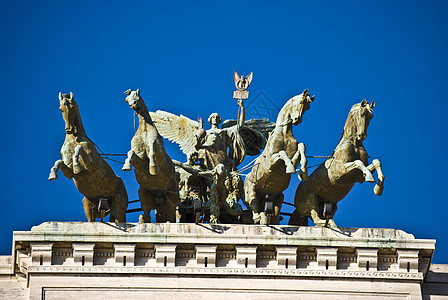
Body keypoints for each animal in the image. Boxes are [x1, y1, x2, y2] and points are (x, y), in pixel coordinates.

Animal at [49, 92, 130, 221]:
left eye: (72, 107)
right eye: (60, 108)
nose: (69, 129)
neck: (73, 139)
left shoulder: (91, 164)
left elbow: (79, 149)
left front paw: (77, 165)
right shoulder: (69, 173)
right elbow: (59, 162)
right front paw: (53, 174)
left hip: (119, 205)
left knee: (118, 218)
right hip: (89, 204)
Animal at [122, 89, 180, 223]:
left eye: (136, 95)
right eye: (127, 100)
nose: (133, 104)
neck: (144, 131)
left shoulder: (157, 149)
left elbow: (152, 152)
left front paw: (153, 169)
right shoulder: (138, 158)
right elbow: (130, 153)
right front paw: (126, 166)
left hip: (171, 197)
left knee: (170, 214)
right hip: (143, 194)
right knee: (147, 214)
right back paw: (142, 220)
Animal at [245, 90, 316, 224]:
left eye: (308, 107)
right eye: (300, 102)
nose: (297, 120)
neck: (284, 133)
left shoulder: (294, 156)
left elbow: (301, 147)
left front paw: (303, 172)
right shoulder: (269, 163)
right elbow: (282, 153)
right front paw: (291, 168)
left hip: (277, 196)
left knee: (274, 215)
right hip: (251, 190)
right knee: (254, 208)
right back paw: (259, 217)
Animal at [290, 99, 384, 227]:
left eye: (371, 116)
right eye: (361, 114)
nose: (362, 135)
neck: (354, 144)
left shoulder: (358, 178)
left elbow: (376, 162)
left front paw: (378, 188)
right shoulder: (340, 172)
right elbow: (358, 162)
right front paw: (370, 177)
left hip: (332, 205)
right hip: (311, 199)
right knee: (316, 217)